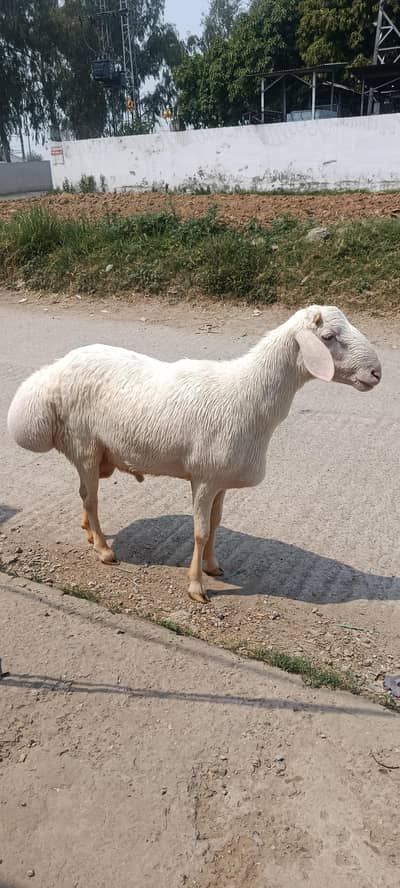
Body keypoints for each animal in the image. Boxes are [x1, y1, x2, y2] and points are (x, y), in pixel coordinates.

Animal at [7, 304, 381, 603]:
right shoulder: (204, 477)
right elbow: (200, 531)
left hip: (96, 453)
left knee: (85, 494)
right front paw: (196, 586)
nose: (377, 373)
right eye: (329, 336)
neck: (250, 394)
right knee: (90, 497)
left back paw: (88, 532)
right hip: (84, 444)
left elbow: (216, 524)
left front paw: (213, 567)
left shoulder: (221, 480)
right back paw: (103, 549)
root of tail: (55, 371)